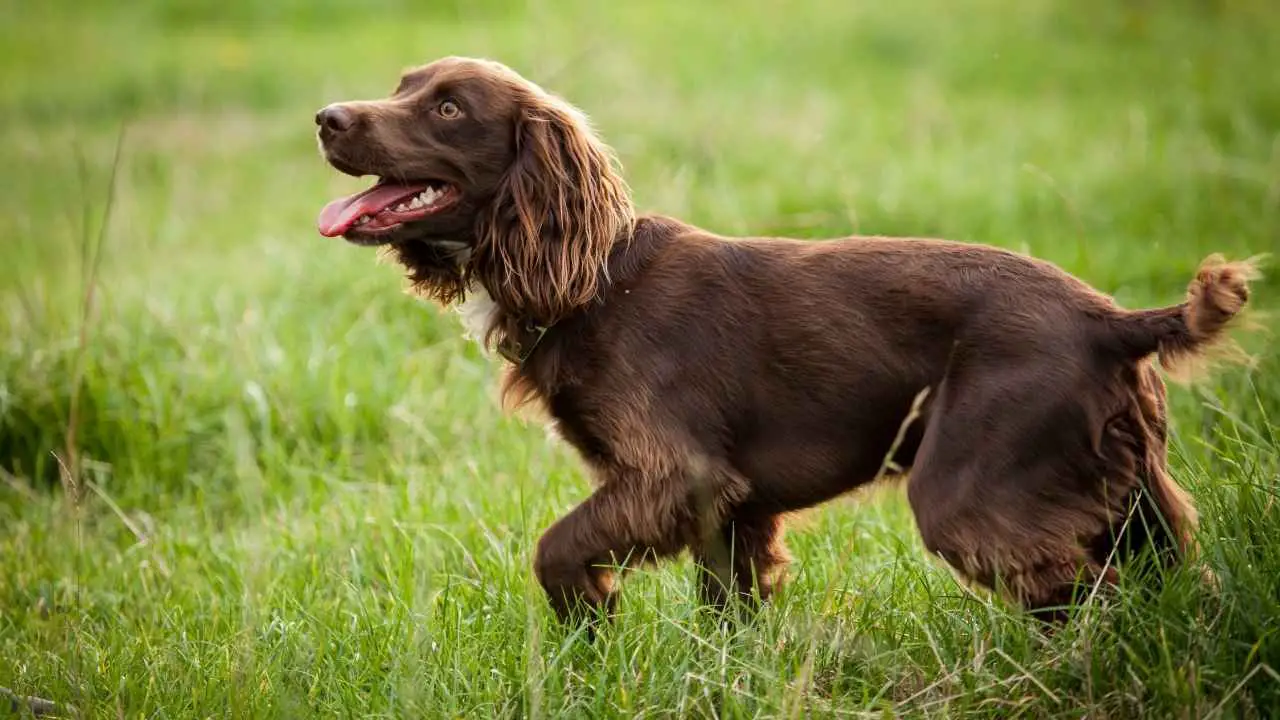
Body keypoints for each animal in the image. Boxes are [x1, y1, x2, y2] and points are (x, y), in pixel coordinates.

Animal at [314, 56, 1254, 622]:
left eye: (446, 107)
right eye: (403, 84)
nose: (325, 117)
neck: (594, 281)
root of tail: (1112, 321)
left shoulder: (675, 475)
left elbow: (555, 548)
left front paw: (593, 622)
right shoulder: (729, 508)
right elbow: (725, 614)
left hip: (973, 491)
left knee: (1089, 597)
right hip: (1132, 495)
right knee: (1172, 584)